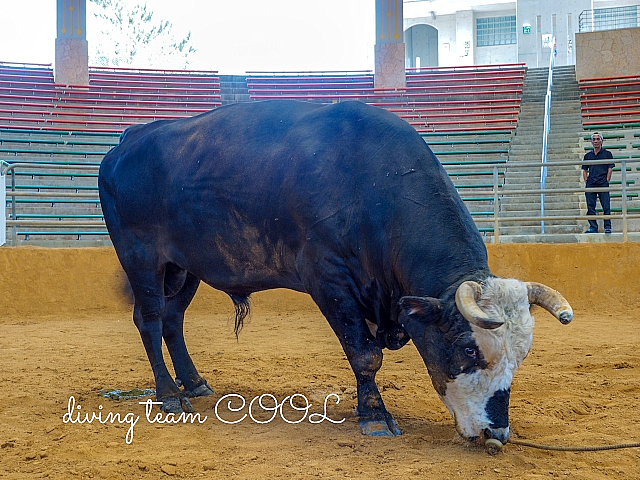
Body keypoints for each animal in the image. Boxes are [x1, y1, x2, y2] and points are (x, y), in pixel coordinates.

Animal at [100, 100, 576, 442]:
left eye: (520, 357)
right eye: (469, 349)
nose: (497, 432)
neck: (372, 185)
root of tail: (131, 138)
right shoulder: (329, 281)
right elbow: (365, 354)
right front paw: (374, 415)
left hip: (184, 268)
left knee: (172, 319)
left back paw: (194, 383)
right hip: (142, 258)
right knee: (149, 319)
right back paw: (168, 395)